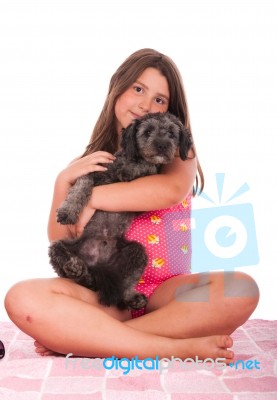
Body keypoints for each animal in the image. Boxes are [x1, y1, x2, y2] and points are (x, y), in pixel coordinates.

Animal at [48, 111, 192, 310]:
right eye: (147, 131)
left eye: (171, 133)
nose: (162, 145)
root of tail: (97, 266)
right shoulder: (92, 172)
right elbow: (80, 187)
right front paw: (67, 211)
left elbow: (148, 168)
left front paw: (133, 170)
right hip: (60, 247)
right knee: (70, 264)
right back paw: (75, 268)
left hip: (136, 252)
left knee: (125, 284)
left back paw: (132, 297)